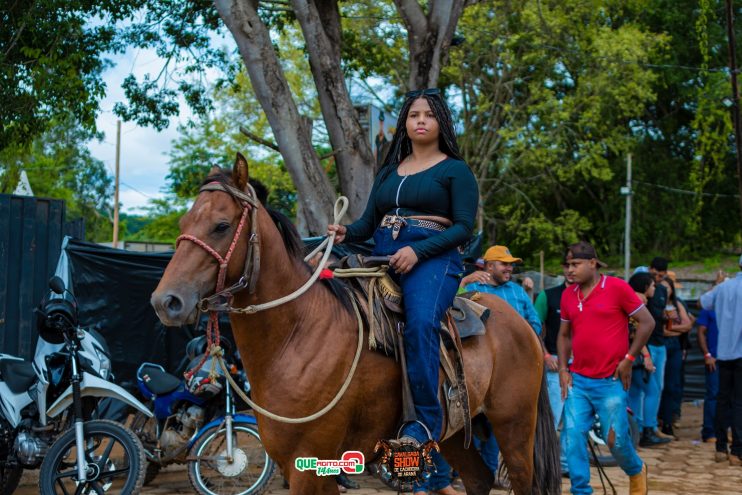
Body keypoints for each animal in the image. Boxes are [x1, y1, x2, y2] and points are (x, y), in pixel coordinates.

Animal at [150, 153, 560, 494]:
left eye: (221, 225)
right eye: (185, 221)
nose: (165, 301)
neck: (297, 335)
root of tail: (522, 324)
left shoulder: (312, 463)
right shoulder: (297, 463)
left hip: (514, 426)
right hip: (454, 433)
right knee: (478, 479)